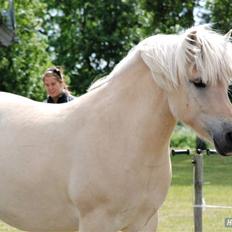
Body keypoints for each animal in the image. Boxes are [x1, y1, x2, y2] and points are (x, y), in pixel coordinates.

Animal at [0, 26, 232, 231]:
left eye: (226, 84)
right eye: (198, 82)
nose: (230, 136)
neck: (119, 135)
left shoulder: (145, 222)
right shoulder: (96, 222)